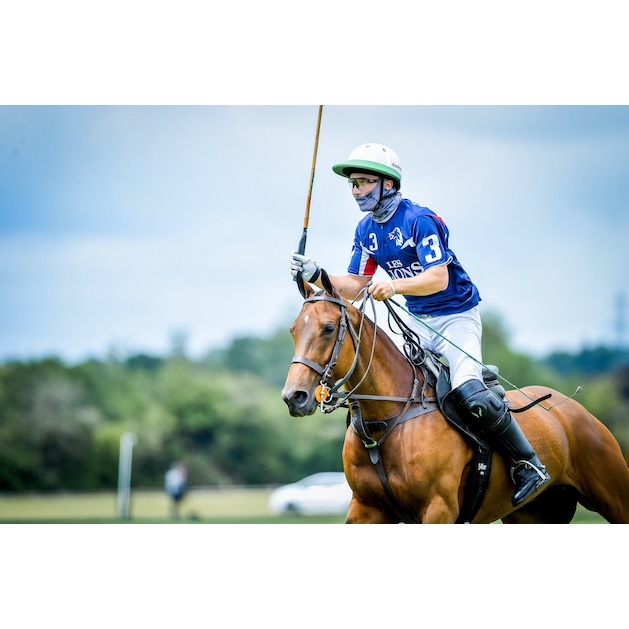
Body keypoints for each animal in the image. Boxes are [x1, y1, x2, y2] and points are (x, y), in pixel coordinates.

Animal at [282, 278, 628, 520]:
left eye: (328, 328)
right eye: (293, 330)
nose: (294, 397)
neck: (385, 421)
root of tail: (575, 408)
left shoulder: (438, 508)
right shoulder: (365, 509)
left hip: (613, 493)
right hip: (535, 513)